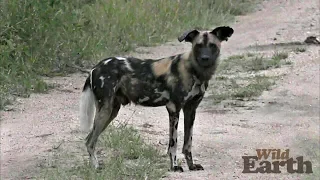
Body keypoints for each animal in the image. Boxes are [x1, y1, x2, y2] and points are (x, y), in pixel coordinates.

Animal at [80, 26, 234, 172]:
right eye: (198, 46)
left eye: (212, 46)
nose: (205, 58)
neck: (195, 72)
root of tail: (95, 67)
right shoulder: (173, 109)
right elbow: (173, 144)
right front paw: (174, 167)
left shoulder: (190, 110)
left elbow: (187, 144)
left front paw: (191, 166)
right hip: (105, 111)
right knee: (90, 141)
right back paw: (96, 167)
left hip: (112, 111)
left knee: (89, 139)